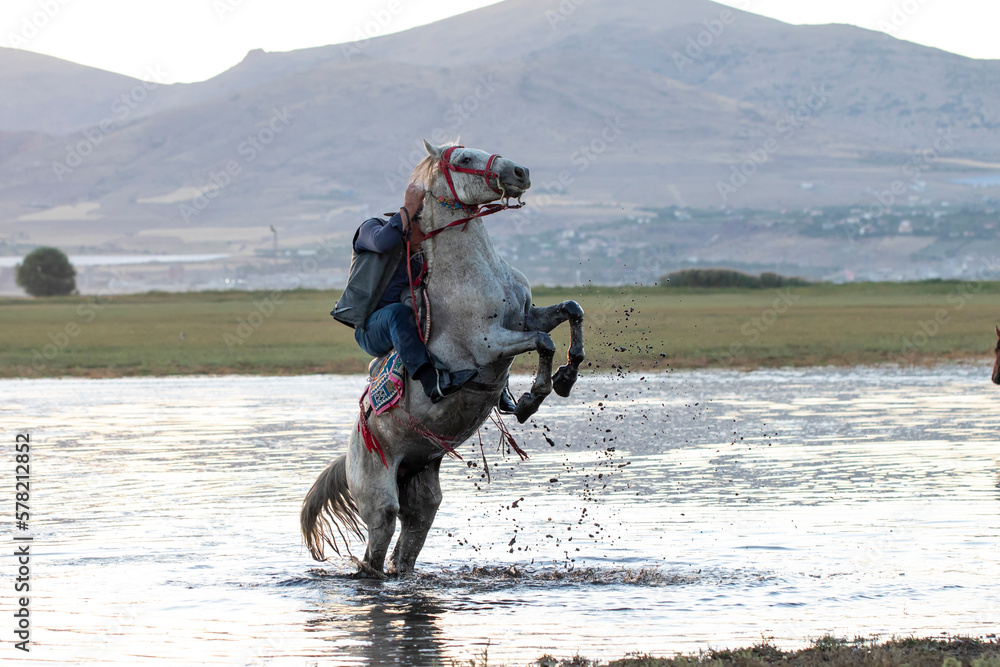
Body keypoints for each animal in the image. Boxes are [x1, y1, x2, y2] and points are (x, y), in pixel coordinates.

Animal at [301, 140, 585, 577]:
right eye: (464, 158)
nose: (520, 172)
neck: (474, 275)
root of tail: (348, 456)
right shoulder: (491, 344)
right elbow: (543, 343)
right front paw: (531, 398)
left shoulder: (527, 316)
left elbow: (571, 311)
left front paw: (567, 376)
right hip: (380, 502)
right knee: (374, 556)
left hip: (421, 495)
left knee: (405, 551)